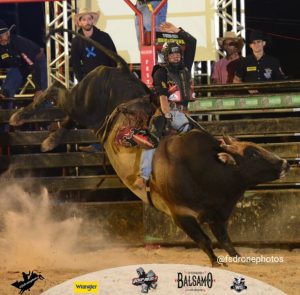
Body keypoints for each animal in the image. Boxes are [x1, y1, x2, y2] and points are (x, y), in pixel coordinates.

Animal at [9, 28, 290, 268]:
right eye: (252, 153)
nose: (285, 163)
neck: (208, 169)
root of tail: (121, 69)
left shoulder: (218, 216)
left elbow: (227, 243)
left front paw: (241, 261)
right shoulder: (181, 215)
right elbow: (205, 241)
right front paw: (215, 263)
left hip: (86, 112)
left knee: (66, 115)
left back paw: (49, 140)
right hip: (83, 103)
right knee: (57, 90)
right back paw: (19, 116)